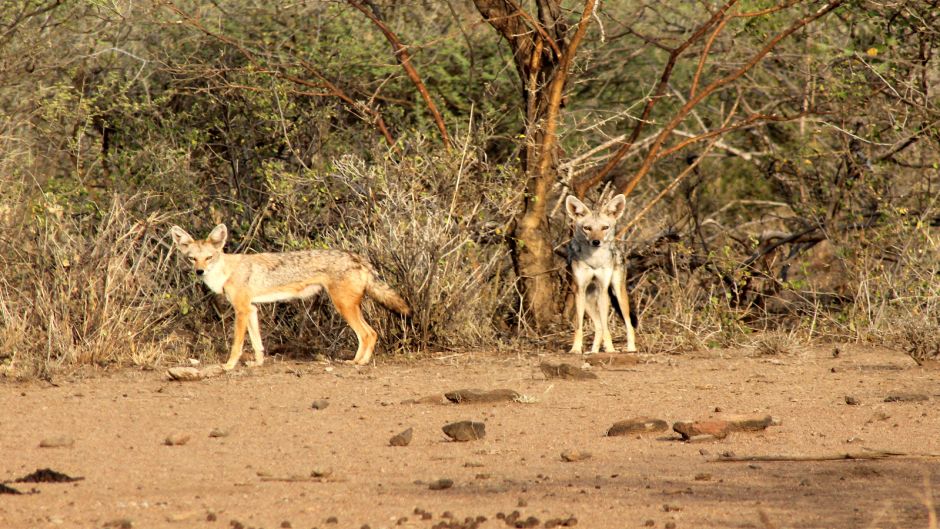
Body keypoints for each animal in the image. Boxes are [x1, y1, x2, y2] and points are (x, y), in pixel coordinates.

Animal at [169, 224, 410, 370]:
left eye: (209, 257)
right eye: (192, 258)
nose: (200, 272)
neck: (226, 272)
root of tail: (357, 256)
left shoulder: (241, 310)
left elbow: (237, 344)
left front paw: (228, 366)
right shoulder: (252, 309)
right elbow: (257, 343)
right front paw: (258, 363)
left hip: (343, 307)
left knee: (368, 333)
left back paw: (358, 363)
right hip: (347, 307)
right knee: (371, 333)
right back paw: (358, 360)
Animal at [564, 194, 637, 354]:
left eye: (605, 227)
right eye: (587, 228)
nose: (596, 242)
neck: (594, 260)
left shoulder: (603, 290)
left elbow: (606, 327)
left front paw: (610, 349)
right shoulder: (580, 290)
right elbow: (579, 326)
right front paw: (576, 349)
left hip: (618, 293)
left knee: (628, 324)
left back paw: (631, 348)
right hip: (587, 299)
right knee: (597, 326)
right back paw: (593, 351)